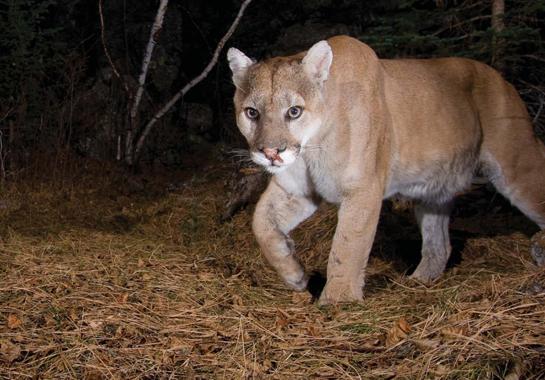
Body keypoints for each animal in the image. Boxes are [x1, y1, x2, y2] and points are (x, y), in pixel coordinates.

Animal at [225, 35, 544, 302]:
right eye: (251, 112)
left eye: (294, 111)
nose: (270, 153)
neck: (310, 149)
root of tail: (501, 78)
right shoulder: (296, 190)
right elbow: (260, 223)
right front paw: (295, 275)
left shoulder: (363, 189)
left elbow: (346, 246)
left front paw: (338, 303)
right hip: (433, 189)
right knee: (439, 245)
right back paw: (416, 283)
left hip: (516, 164)